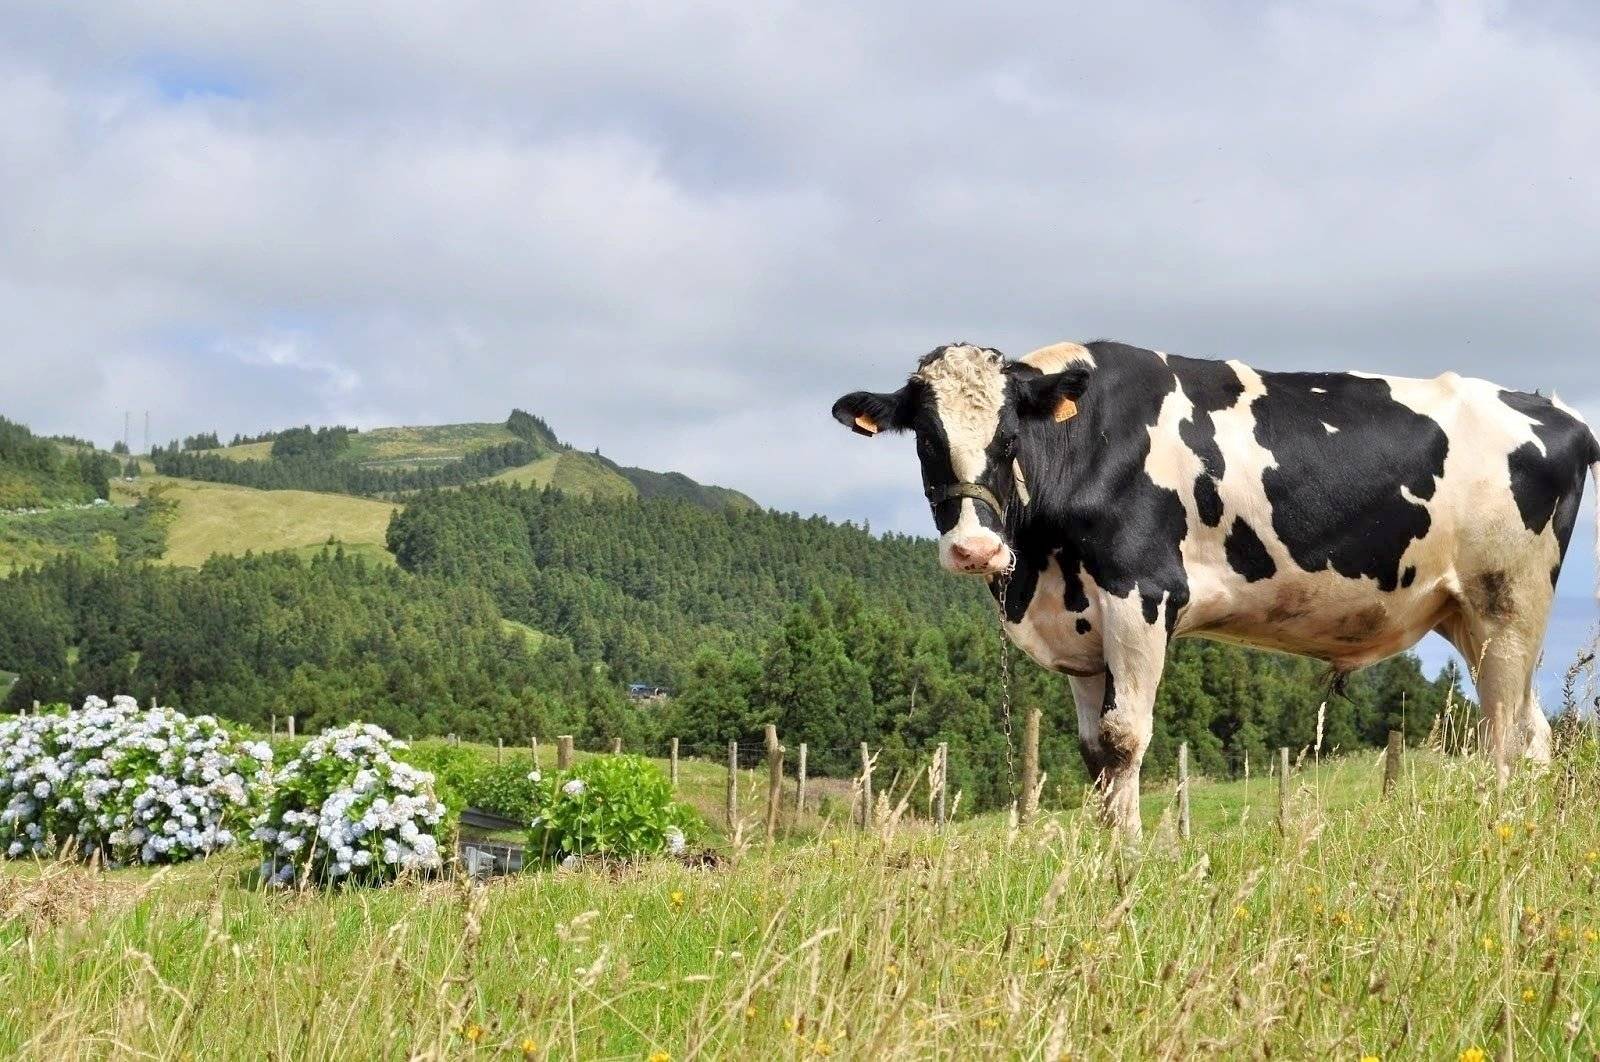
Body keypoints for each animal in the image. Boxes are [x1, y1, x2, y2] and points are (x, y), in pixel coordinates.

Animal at [833, 340, 1600, 836]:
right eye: (925, 440)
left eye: (1009, 438)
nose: (975, 548)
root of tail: (1559, 413)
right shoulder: (1080, 629)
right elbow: (1094, 755)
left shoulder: (1141, 592)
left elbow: (1124, 739)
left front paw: (1127, 865)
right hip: (1470, 617)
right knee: (1532, 732)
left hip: (1510, 602)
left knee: (1506, 736)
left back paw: (1499, 834)